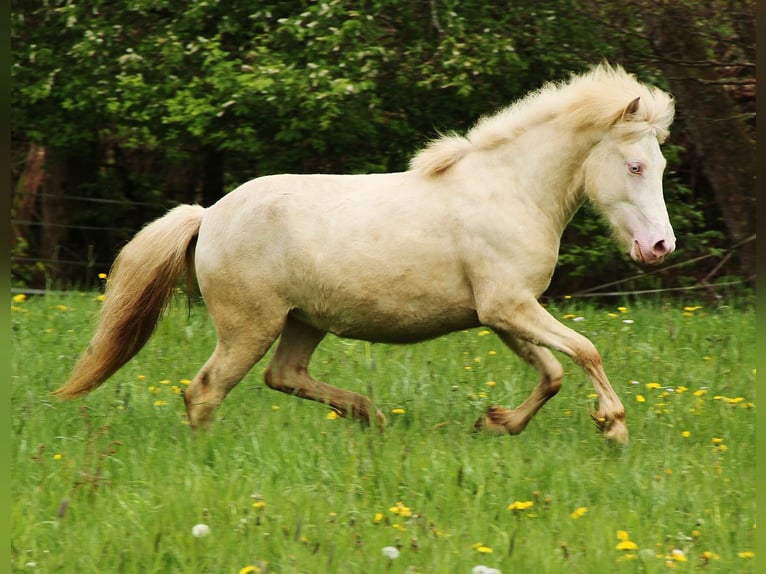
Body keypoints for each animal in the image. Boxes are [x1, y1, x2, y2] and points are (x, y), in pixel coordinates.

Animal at [55, 65, 680, 448]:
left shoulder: (503, 314)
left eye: (660, 165)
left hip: (302, 323)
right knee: (206, 391)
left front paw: (495, 423)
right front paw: (614, 427)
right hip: (248, 327)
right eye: (634, 166)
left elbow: (552, 373)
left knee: (284, 375)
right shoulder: (509, 307)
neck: (511, 189)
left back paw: (368, 415)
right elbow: (586, 350)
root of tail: (207, 216)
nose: (659, 247)